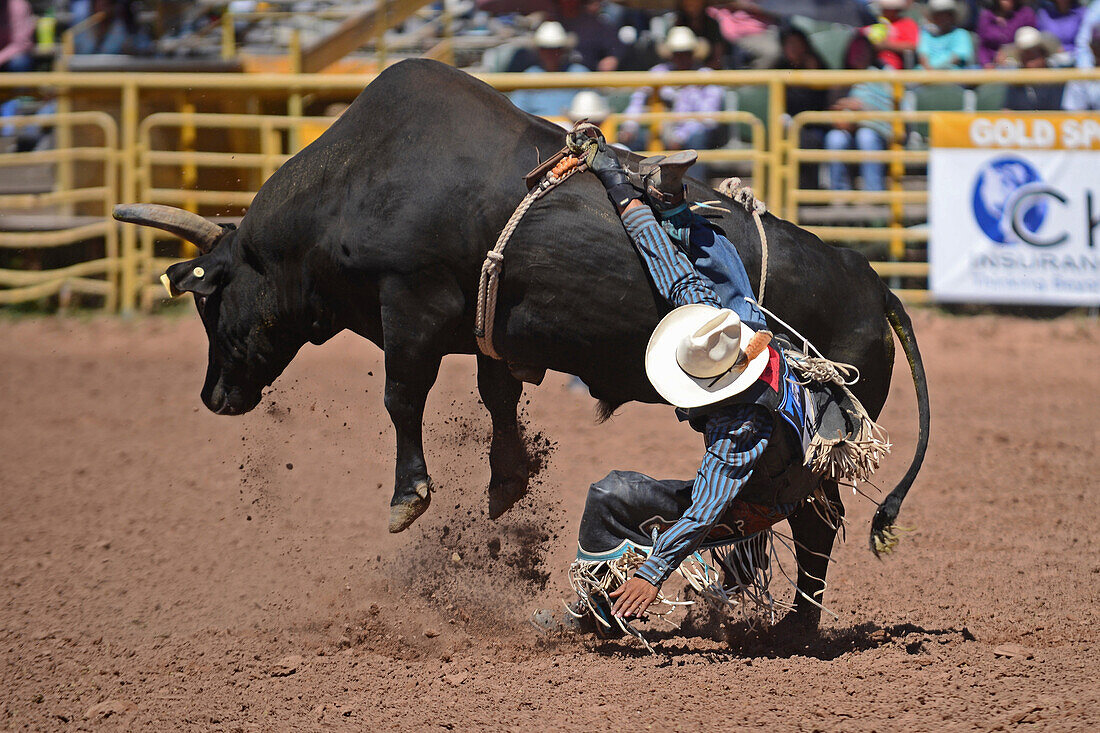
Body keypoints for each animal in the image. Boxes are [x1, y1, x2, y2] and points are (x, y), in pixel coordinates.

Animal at [118, 59, 928, 625]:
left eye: (214, 297)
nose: (213, 395)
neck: (355, 182)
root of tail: (873, 282)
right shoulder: (488, 329)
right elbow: (496, 392)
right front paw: (506, 480)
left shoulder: (410, 303)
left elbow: (401, 395)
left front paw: (408, 496)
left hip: (816, 454)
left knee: (817, 523)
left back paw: (798, 626)